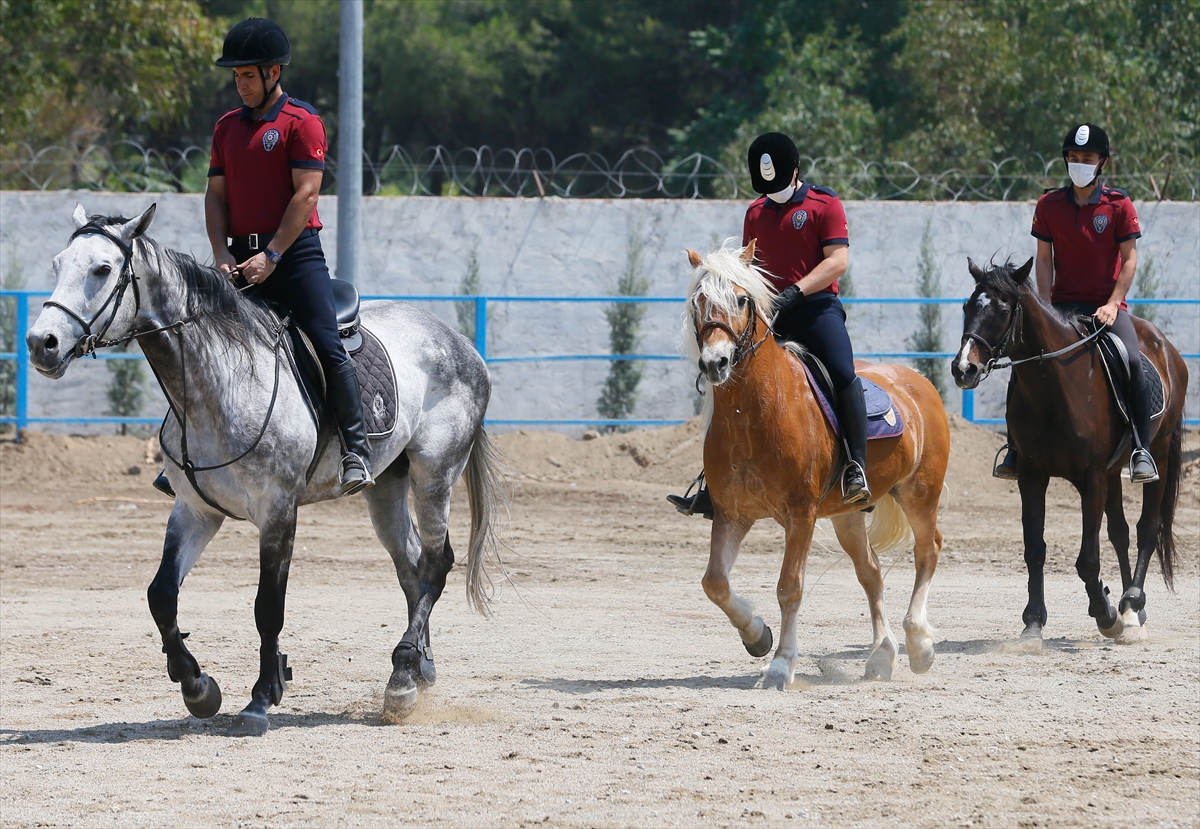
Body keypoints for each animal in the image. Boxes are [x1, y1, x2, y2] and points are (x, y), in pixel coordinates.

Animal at [27, 203, 506, 734]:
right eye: (58, 264)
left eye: (102, 269)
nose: (41, 343)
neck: (220, 382)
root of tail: (456, 340)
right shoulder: (195, 511)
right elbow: (161, 595)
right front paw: (197, 686)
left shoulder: (278, 513)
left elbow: (266, 608)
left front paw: (260, 698)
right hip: (385, 488)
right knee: (412, 566)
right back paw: (419, 667)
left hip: (434, 473)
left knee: (436, 563)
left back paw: (402, 677)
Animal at [691, 239, 950, 686]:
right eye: (698, 302)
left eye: (741, 299)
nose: (714, 363)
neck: (753, 413)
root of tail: (917, 379)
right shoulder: (731, 514)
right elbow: (715, 583)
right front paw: (757, 635)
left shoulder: (801, 514)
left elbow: (790, 586)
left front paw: (781, 664)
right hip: (847, 515)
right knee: (871, 571)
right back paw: (881, 655)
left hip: (920, 495)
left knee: (927, 550)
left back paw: (919, 643)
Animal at [950, 256, 1185, 643]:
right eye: (967, 306)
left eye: (1002, 310)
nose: (963, 368)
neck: (1054, 386)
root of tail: (1166, 347)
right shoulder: (1031, 475)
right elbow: (1035, 550)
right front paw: (1033, 621)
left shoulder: (1091, 477)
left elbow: (1088, 559)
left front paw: (1105, 613)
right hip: (1113, 472)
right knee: (1120, 533)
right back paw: (1131, 609)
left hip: (1159, 454)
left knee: (1147, 529)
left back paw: (1132, 603)